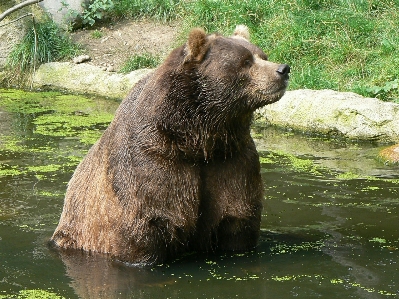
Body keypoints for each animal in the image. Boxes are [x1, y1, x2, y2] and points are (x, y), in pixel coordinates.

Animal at [51, 24, 292, 266]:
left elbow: (237, 218)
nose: (283, 69)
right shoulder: (153, 161)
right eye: (245, 61)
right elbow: (146, 225)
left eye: (263, 55)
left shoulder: (232, 159)